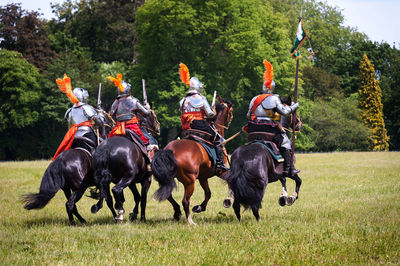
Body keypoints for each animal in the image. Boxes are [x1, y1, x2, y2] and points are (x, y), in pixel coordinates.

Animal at [151, 96, 233, 225]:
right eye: (231, 110)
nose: (231, 119)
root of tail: (170, 151)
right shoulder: (221, 171)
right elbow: (229, 181)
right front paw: (228, 200)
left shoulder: (203, 177)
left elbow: (208, 193)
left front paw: (200, 207)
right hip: (190, 182)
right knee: (185, 201)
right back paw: (190, 221)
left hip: (167, 180)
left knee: (169, 196)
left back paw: (177, 212)